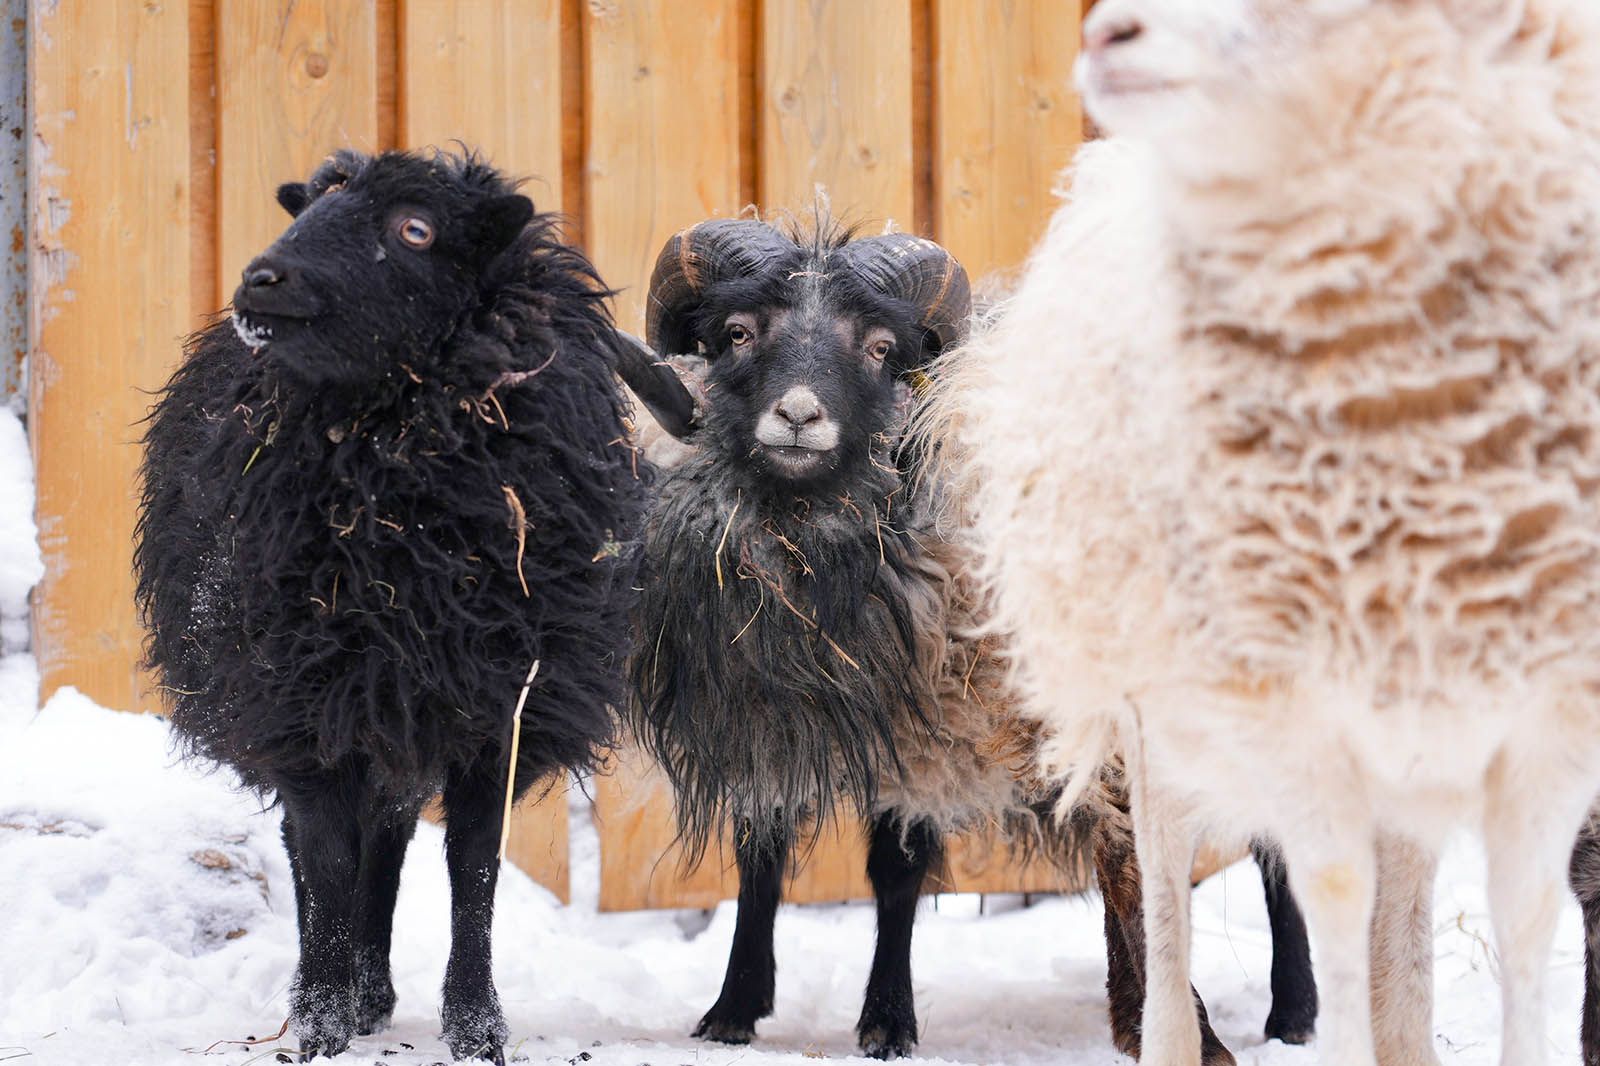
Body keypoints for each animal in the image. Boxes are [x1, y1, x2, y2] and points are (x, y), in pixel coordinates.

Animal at [133, 148, 646, 1064]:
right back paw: (339, 991)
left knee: (392, 838)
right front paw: (320, 1021)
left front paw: (476, 1025)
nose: (262, 279)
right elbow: (327, 862)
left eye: (415, 229)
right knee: (318, 848)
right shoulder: (302, 702)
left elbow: (472, 869)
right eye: (312, 205)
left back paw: (373, 988)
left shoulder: (498, 711)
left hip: (400, 709)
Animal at [617, 217, 1316, 1062]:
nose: (799, 417)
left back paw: (1292, 1012)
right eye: (738, 334)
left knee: (1273, 844)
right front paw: (736, 1010)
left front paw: (887, 1020)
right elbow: (769, 858)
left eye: (881, 347)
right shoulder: (786, 716)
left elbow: (923, 868)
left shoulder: (952, 713)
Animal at [923, 1, 1600, 1063]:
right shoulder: (1294, 719)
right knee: (1157, 908)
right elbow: (1332, 909)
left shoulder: (1544, 725)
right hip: (1160, 707)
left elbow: (1514, 925)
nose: (1106, 38)